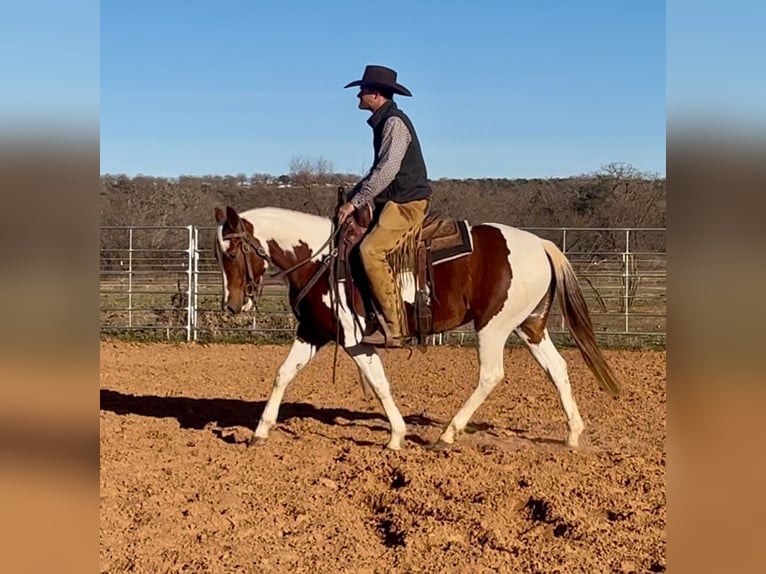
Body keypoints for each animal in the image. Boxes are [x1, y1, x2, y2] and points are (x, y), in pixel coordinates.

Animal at [213, 205, 620, 452]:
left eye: (230, 253)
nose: (232, 305)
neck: (319, 259)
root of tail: (540, 244)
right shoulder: (313, 333)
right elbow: (283, 373)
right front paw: (260, 431)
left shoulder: (354, 340)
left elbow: (379, 383)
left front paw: (396, 436)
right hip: (529, 326)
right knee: (557, 369)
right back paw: (573, 434)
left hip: (493, 327)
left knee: (491, 375)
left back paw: (448, 434)